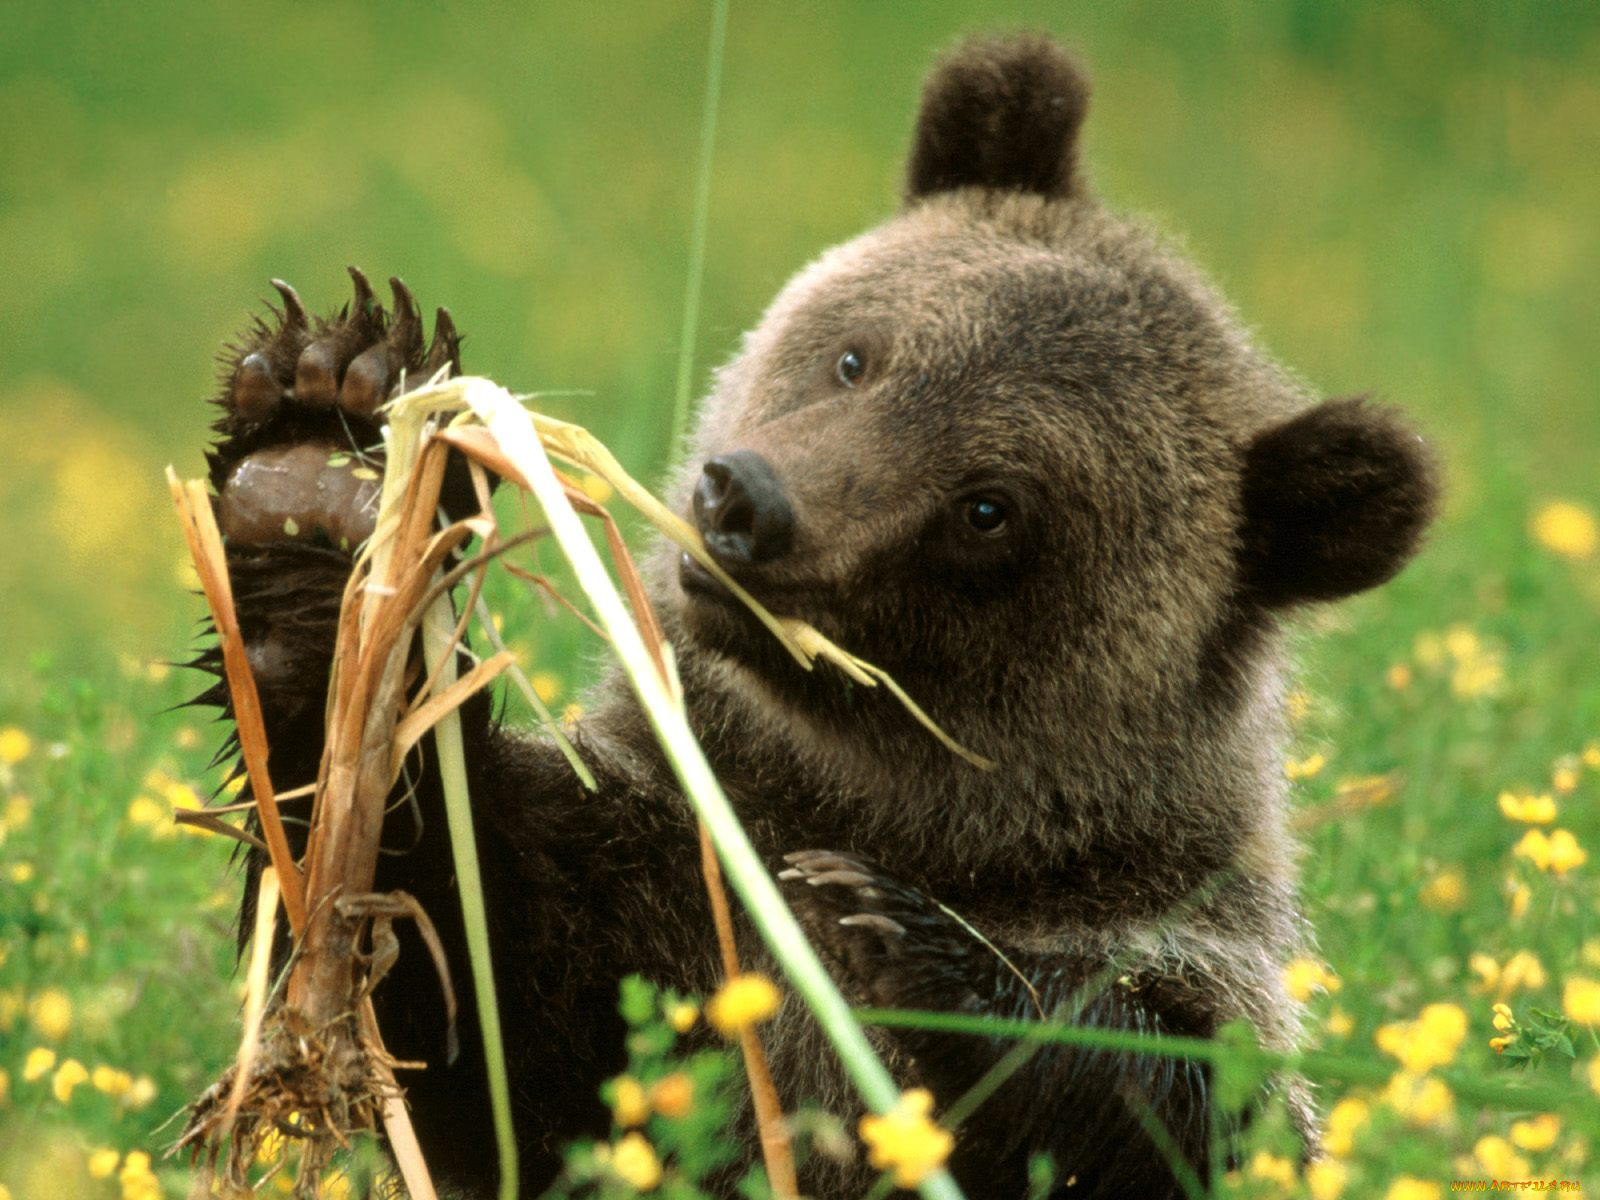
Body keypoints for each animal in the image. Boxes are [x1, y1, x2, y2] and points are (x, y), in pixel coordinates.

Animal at [194, 33, 1438, 1200]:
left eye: (990, 507)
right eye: (858, 356)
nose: (746, 503)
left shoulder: (1171, 951)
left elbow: (1175, 1099)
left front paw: (910, 943)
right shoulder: (652, 895)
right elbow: (462, 970)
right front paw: (320, 475)